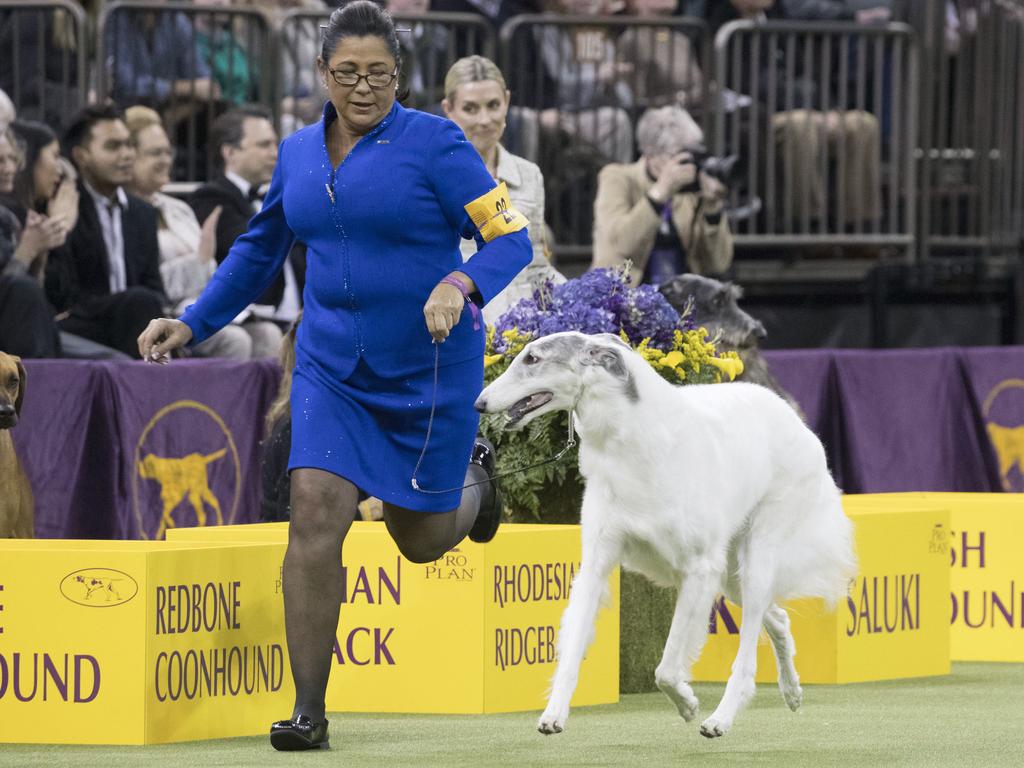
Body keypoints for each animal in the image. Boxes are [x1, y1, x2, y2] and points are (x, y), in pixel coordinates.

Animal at [475, 331, 860, 741]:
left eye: (532, 359)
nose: (479, 403)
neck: (633, 444)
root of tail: (790, 415)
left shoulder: (698, 570)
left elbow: (665, 669)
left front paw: (688, 703)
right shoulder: (597, 564)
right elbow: (572, 651)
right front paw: (553, 714)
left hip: (754, 558)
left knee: (748, 655)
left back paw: (720, 719)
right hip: (731, 575)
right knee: (779, 619)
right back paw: (792, 691)